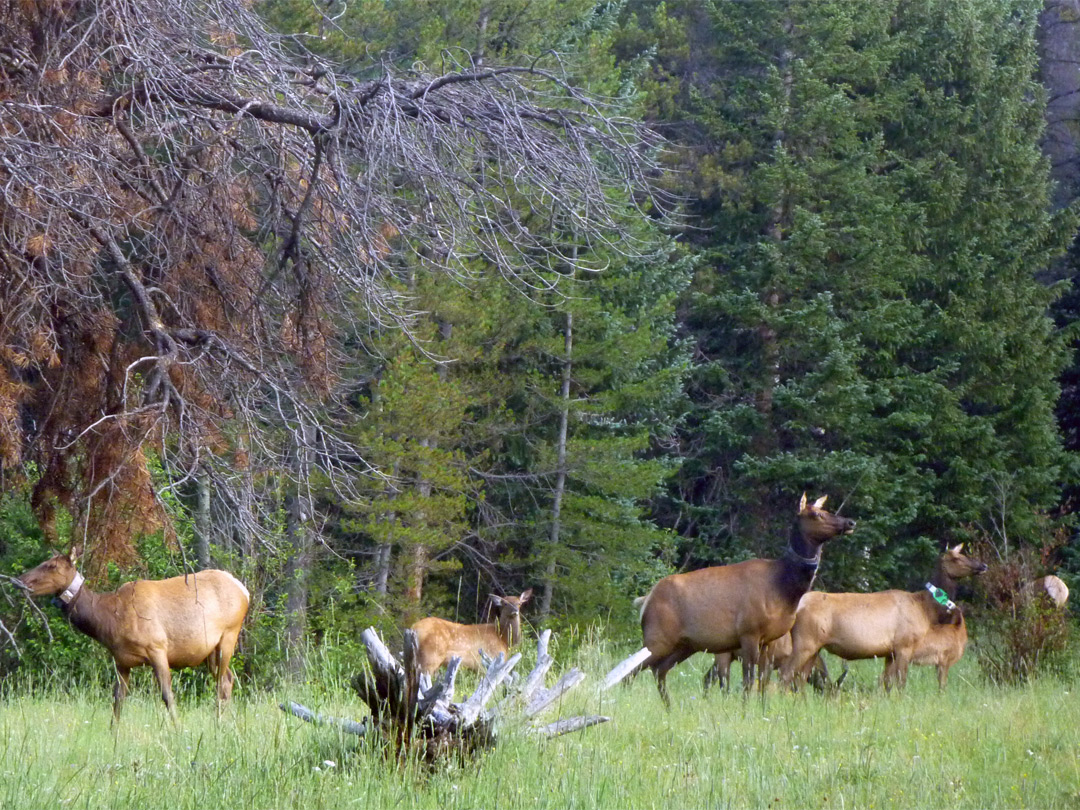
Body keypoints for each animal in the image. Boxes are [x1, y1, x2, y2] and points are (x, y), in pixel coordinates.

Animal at [17, 548, 249, 721]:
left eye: (51, 566)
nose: (18, 580)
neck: (109, 620)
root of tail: (244, 590)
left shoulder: (157, 648)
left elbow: (167, 696)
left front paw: (177, 730)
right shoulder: (121, 661)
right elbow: (118, 701)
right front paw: (113, 736)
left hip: (229, 635)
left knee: (222, 684)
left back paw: (219, 724)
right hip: (210, 651)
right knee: (228, 679)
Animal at [630, 494, 851, 704]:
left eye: (827, 510)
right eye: (816, 514)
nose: (850, 522)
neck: (784, 590)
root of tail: (646, 601)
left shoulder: (770, 640)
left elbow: (763, 682)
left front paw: (762, 708)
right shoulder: (749, 633)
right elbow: (748, 682)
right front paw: (745, 710)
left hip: (685, 645)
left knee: (659, 670)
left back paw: (669, 707)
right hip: (658, 637)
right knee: (632, 670)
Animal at [777, 546, 989, 691]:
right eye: (957, 558)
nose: (983, 565)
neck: (926, 609)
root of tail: (798, 606)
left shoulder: (890, 652)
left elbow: (886, 684)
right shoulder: (905, 645)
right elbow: (901, 683)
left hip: (816, 647)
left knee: (800, 679)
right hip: (805, 641)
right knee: (785, 674)